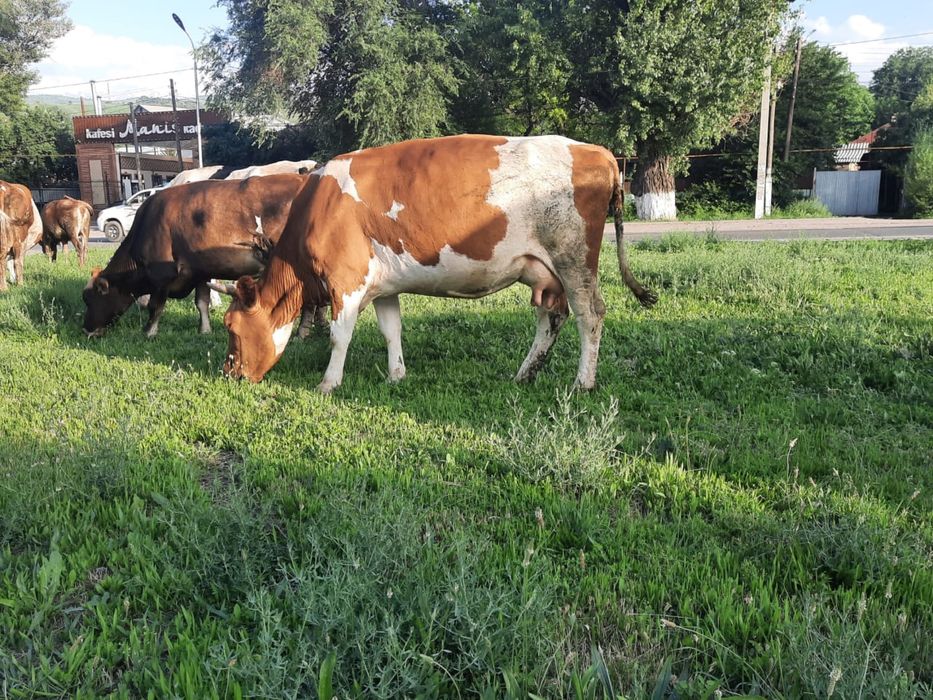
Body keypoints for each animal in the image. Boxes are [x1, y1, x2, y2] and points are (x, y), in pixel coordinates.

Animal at [83, 173, 315, 338]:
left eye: (89, 300)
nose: (86, 329)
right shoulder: (200, 271)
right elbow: (201, 302)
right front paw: (204, 330)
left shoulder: (162, 274)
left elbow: (155, 306)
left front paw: (149, 332)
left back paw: (302, 332)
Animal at [214, 134, 657, 392]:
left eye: (231, 326)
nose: (230, 373)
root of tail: (597, 152)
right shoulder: (383, 285)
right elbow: (391, 330)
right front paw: (397, 375)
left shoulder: (346, 280)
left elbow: (341, 336)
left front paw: (328, 383)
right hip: (546, 271)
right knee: (551, 318)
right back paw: (524, 374)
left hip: (574, 259)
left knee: (590, 314)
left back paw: (583, 382)